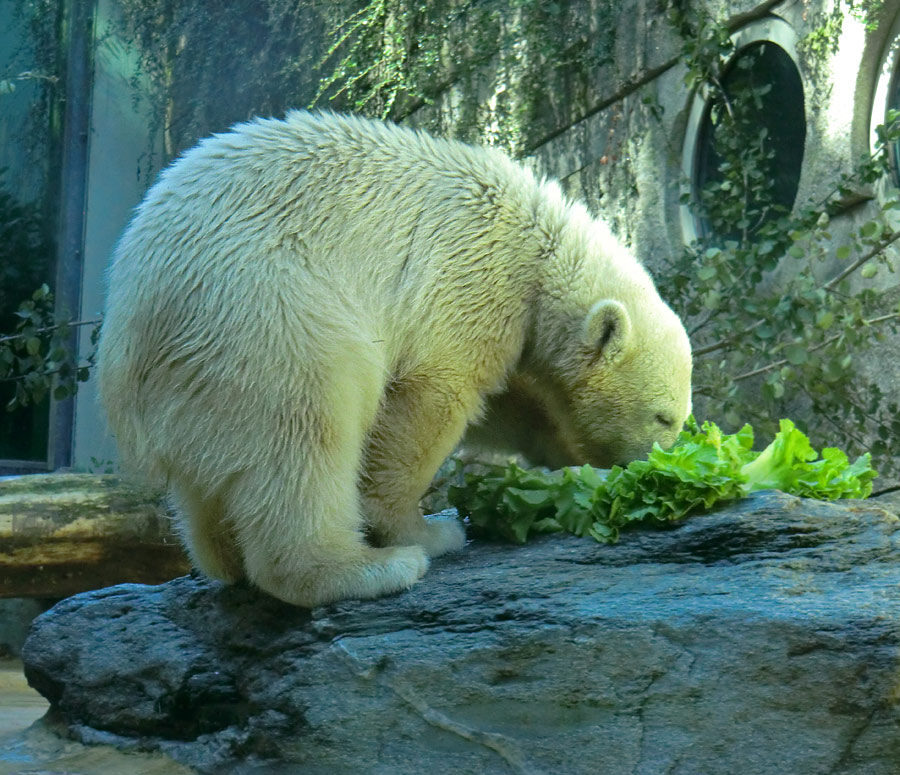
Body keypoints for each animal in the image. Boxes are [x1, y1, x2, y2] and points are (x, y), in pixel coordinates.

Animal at [96, 109, 688, 608]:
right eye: (664, 417)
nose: (653, 463)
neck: (541, 244)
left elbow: (515, 406)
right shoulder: (469, 277)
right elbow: (435, 396)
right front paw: (428, 530)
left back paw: (226, 560)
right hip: (260, 317)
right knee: (304, 429)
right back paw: (371, 568)